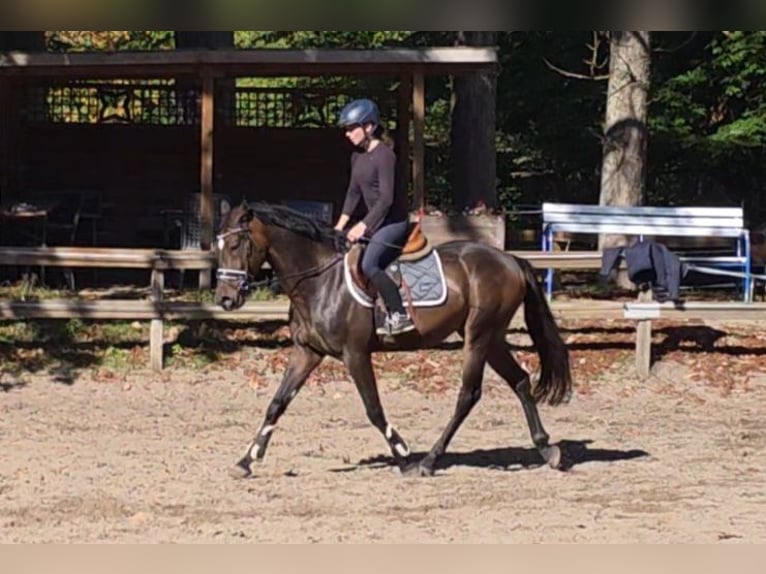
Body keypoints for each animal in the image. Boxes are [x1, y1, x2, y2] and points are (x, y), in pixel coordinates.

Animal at [215, 201, 572, 478]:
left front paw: (403, 457)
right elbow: (277, 404)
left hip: (479, 337)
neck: (321, 279)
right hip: (493, 338)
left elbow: (373, 409)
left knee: (468, 394)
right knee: (520, 380)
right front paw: (245, 461)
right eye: (217, 248)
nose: (225, 300)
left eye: (234, 246)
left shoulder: (355, 354)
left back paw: (429, 460)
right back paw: (546, 449)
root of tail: (511, 260)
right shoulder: (307, 352)